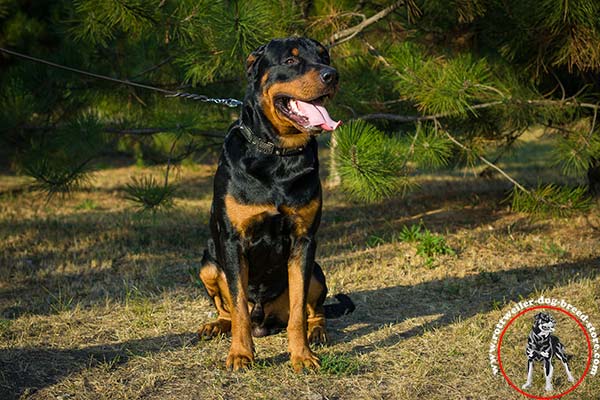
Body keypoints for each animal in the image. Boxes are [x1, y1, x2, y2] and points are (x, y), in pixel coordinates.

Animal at [197, 37, 352, 372]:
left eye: (324, 57)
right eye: (291, 61)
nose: (332, 75)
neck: (278, 154)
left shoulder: (303, 241)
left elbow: (297, 310)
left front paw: (302, 355)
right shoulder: (232, 241)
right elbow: (238, 307)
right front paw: (241, 354)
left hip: (317, 270)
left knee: (313, 310)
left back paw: (318, 331)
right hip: (207, 264)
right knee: (228, 310)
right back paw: (216, 325)